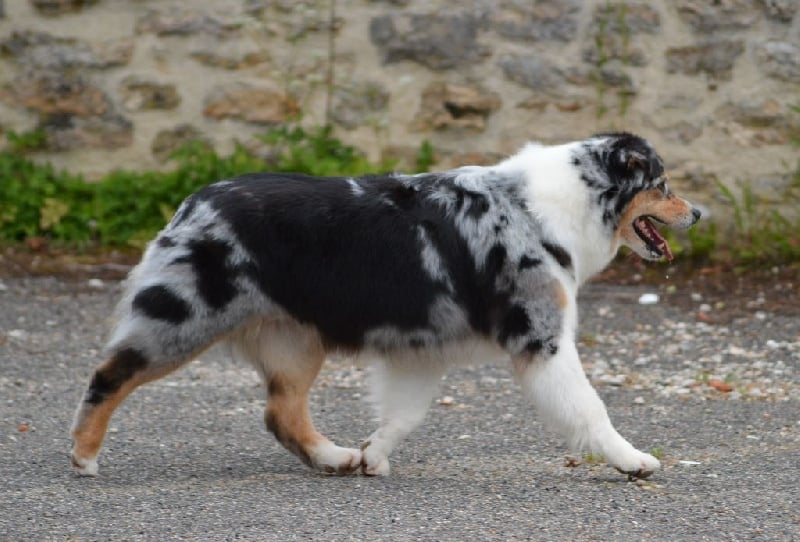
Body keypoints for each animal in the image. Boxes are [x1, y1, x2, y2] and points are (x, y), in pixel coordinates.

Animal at [72, 133, 704, 480]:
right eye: (663, 184)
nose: (699, 213)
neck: (558, 204)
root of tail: (193, 201)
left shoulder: (421, 348)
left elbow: (404, 414)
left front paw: (373, 456)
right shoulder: (542, 338)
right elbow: (591, 410)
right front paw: (632, 460)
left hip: (295, 340)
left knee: (281, 413)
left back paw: (334, 458)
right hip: (184, 318)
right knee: (108, 375)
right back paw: (84, 456)